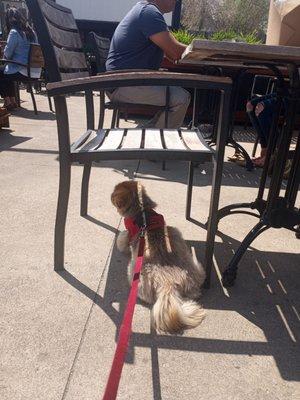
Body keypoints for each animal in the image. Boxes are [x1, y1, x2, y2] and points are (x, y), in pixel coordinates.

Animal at [110, 181, 206, 334]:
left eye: (115, 192)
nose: (111, 195)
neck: (143, 213)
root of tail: (169, 283)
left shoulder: (129, 235)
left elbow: (122, 239)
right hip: (197, 268)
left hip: (134, 273)